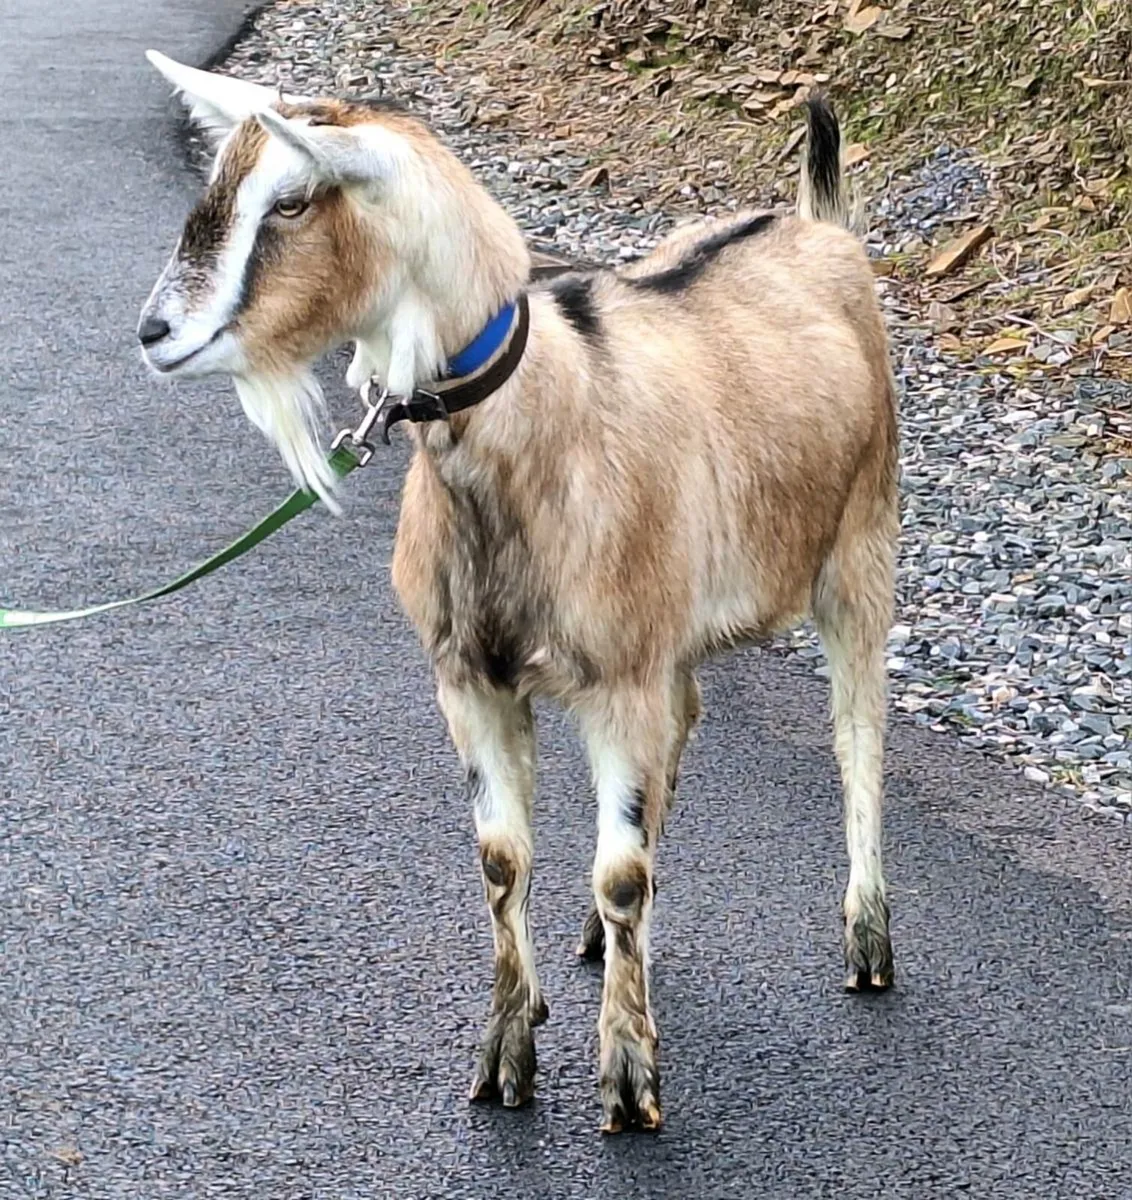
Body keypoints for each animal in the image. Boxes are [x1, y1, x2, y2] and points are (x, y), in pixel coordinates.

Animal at [140, 52, 899, 1134]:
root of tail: (817, 224)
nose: (155, 332)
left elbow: (620, 869)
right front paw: (506, 1056)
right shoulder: (474, 678)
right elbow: (504, 859)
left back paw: (868, 942)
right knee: (686, 724)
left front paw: (628, 1079)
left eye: (289, 200)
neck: (545, 413)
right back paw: (594, 938)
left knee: (856, 739)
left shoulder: (617, 676)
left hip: (861, 552)